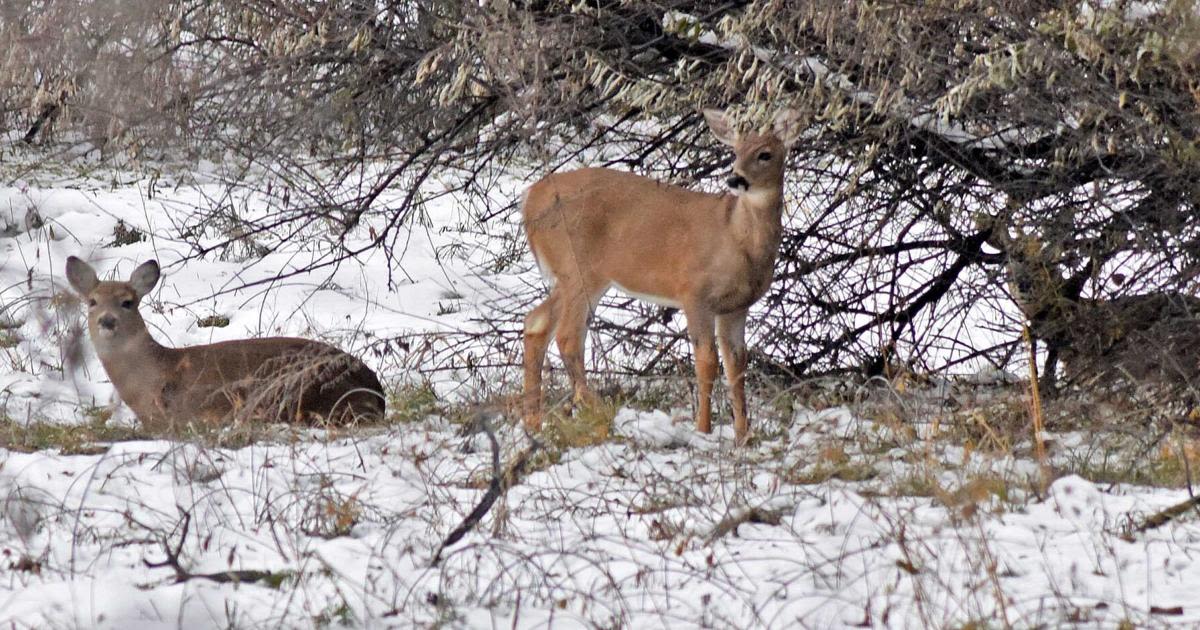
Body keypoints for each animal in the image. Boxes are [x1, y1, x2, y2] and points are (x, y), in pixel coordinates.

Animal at [520, 108, 801, 441]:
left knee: (536, 323)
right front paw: (703, 429)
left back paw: (533, 424)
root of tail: (529, 200)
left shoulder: (736, 307)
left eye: (765, 154)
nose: (735, 178)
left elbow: (737, 365)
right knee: (567, 336)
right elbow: (707, 361)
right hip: (578, 268)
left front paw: (743, 436)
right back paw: (600, 415)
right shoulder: (694, 292)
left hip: (571, 276)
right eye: (735, 151)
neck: (737, 237)